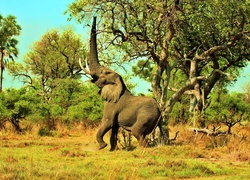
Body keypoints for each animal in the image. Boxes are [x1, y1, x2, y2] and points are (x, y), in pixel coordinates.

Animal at [80, 16, 162, 151]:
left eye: (105, 72)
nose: (95, 16)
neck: (118, 83)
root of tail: (160, 110)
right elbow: (114, 129)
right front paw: (112, 150)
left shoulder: (112, 106)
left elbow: (107, 123)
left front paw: (102, 147)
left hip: (146, 116)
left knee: (137, 132)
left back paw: (143, 149)